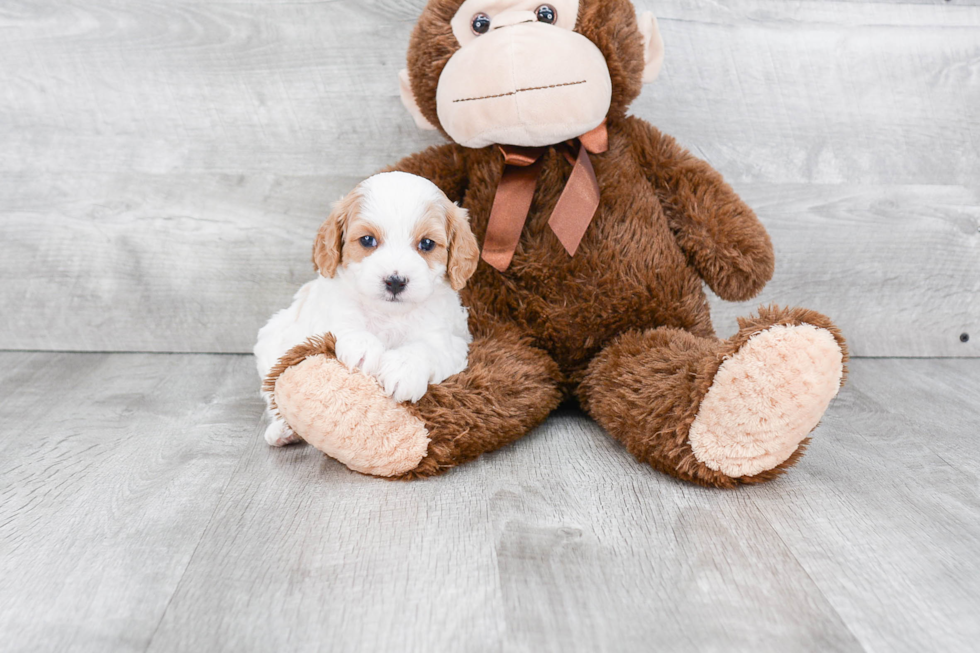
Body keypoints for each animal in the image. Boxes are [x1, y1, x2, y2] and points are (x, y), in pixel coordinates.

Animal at [255, 173, 480, 446]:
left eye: (427, 243)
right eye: (367, 240)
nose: (395, 281)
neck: (389, 314)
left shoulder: (450, 341)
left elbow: (426, 349)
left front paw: (403, 369)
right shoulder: (329, 313)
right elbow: (344, 326)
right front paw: (362, 348)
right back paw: (283, 430)